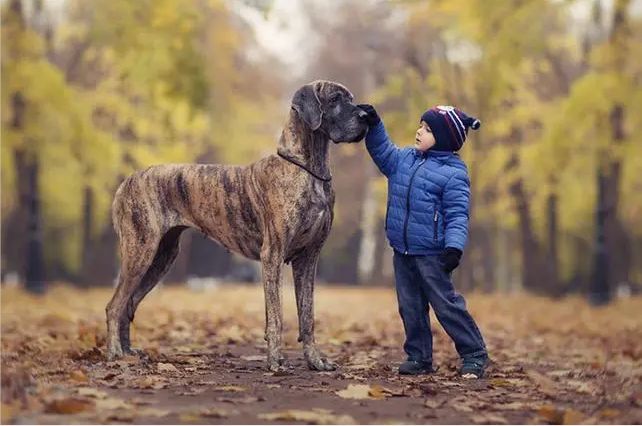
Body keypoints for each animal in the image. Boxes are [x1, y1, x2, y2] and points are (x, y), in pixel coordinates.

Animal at [107, 80, 368, 372]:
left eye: (351, 98)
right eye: (334, 99)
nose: (366, 116)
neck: (308, 169)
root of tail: (127, 181)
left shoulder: (308, 258)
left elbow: (307, 315)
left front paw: (315, 360)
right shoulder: (272, 255)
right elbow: (276, 316)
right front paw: (275, 361)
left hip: (162, 257)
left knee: (129, 303)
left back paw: (128, 352)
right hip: (140, 252)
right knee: (115, 306)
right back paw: (115, 353)